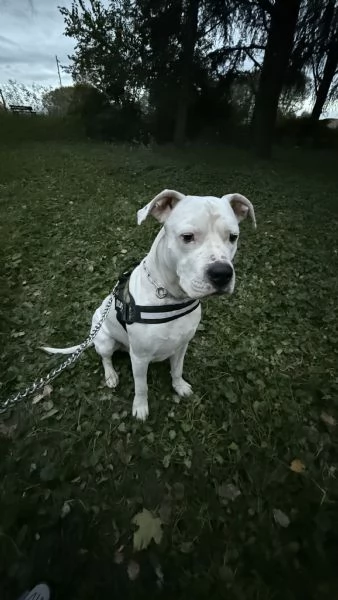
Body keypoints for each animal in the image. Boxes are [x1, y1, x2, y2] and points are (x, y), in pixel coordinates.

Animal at [42, 190, 255, 420]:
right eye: (187, 237)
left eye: (233, 237)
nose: (222, 273)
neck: (171, 296)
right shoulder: (140, 358)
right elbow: (141, 386)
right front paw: (140, 407)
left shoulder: (182, 346)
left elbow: (177, 370)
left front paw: (179, 386)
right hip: (104, 341)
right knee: (105, 359)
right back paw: (111, 375)